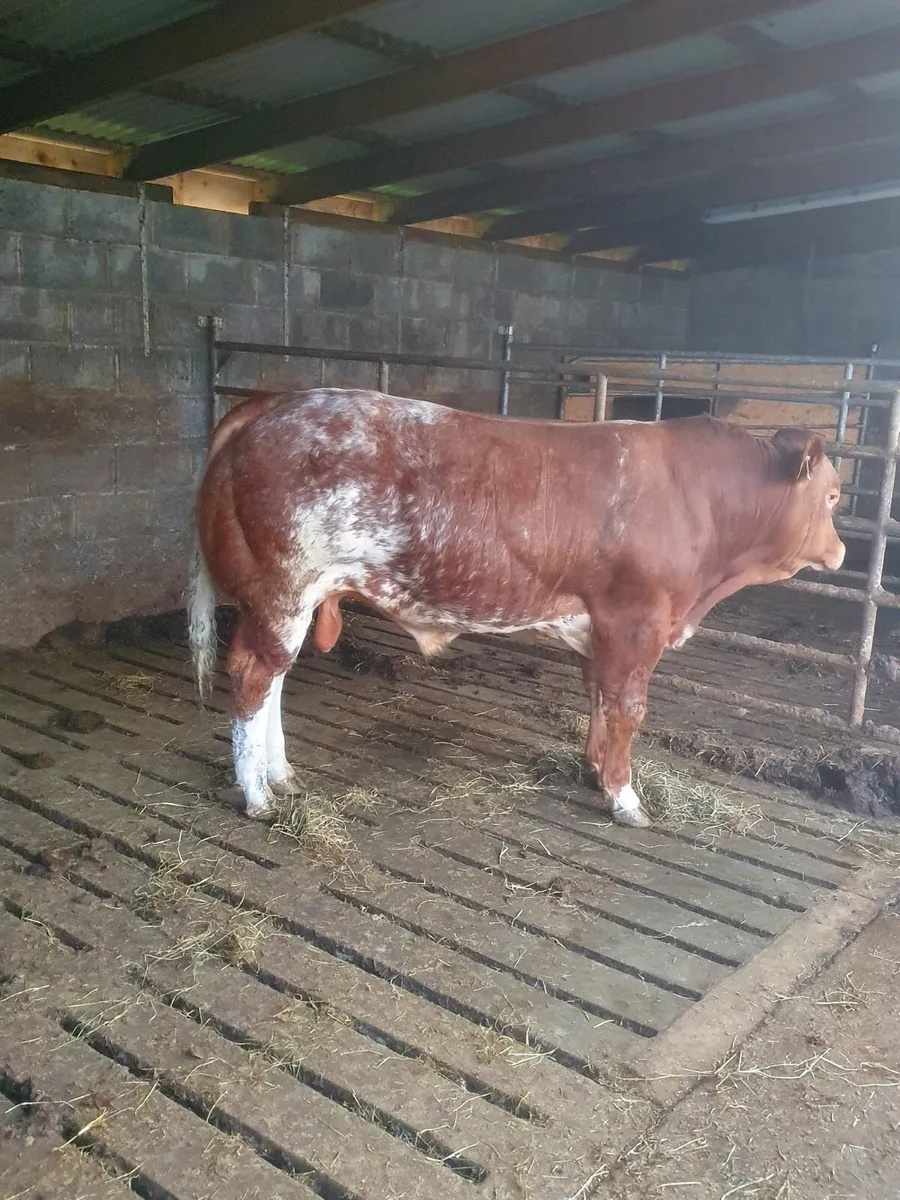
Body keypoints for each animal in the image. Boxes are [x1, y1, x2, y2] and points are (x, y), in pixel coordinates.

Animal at [187, 387, 844, 828]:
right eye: (835, 495)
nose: (840, 551)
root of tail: (272, 403)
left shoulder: (601, 627)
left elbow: (599, 698)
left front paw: (594, 771)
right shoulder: (637, 623)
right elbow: (628, 709)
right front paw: (625, 798)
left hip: (289, 601)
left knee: (273, 681)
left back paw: (281, 776)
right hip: (282, 589)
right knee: (252, 678)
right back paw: (257, 795)